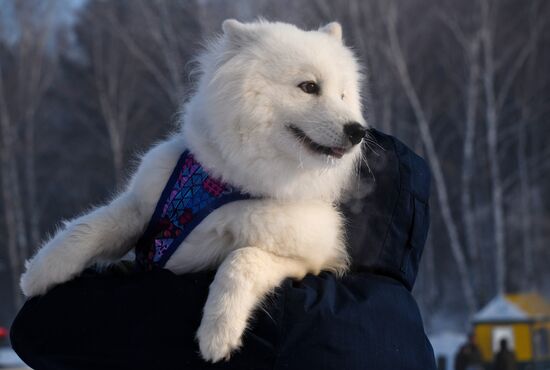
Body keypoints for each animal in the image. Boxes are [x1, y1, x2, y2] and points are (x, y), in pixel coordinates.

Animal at [19, 19, 368, 362]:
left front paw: (218, 332)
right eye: (309, 87)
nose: (358, 131)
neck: (231, 181)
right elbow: (90, 228)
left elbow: (242, 259)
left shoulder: (308, 259)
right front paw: (38, 273)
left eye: (343, 95)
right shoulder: (144, 204)